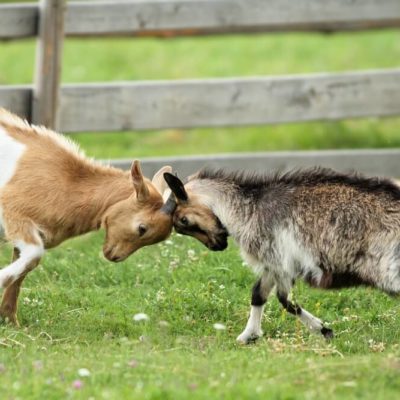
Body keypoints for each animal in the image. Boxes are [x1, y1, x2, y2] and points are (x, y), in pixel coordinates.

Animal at [0, 108, 175, 324]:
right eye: (142, 228)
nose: (114, 256)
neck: (64, 180)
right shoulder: (13, 211)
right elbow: (34, 254)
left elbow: (22, 270)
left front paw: (10, 320)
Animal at [164, 167, 400, 342]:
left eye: (183, 220)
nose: (217, 245)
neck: (246, 207)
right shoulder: (273, 265)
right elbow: (259, 294)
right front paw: (247, 336)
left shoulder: (279, 260)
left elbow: (285, 300)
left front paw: (323, 330)